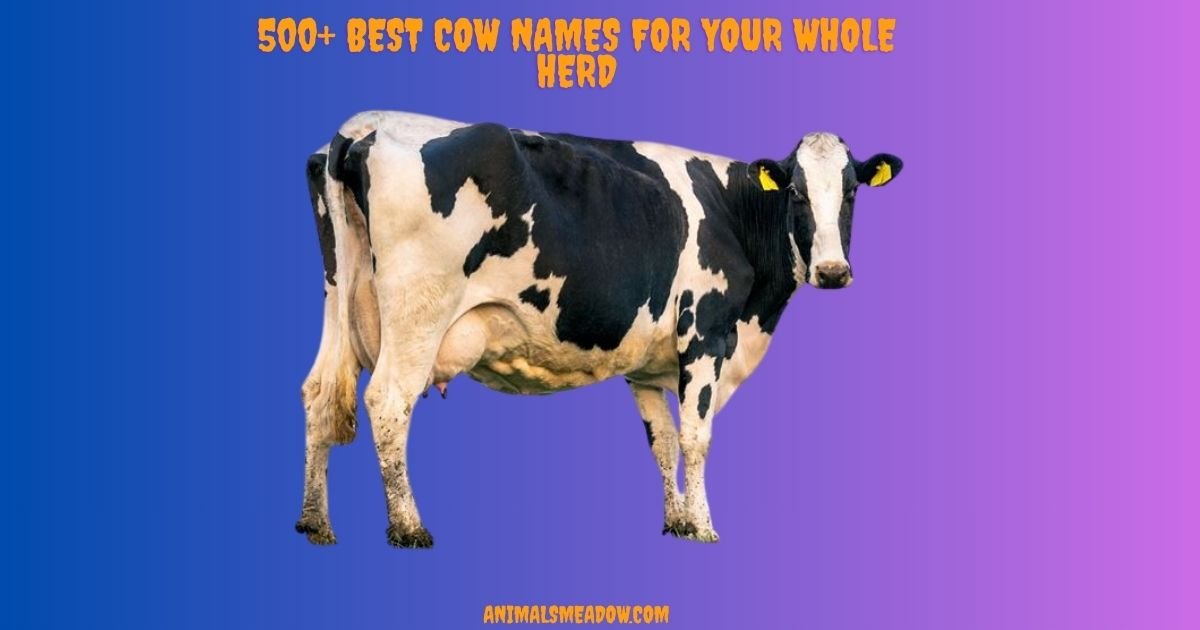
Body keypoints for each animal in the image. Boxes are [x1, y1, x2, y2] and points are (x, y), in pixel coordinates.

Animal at [296, 111, 903, 548]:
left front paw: (678, 522)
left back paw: (315, 523)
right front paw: (704, 527)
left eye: (851, 192)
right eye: (796, 193)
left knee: (321, 393)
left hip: (336, 298)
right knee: (388, 401)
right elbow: (695, 437)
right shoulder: (704, 334)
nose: (832, 271)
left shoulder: (648, 368)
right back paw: (409, 527)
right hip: (418, 311)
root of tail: (363, 128)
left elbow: (662, 442)